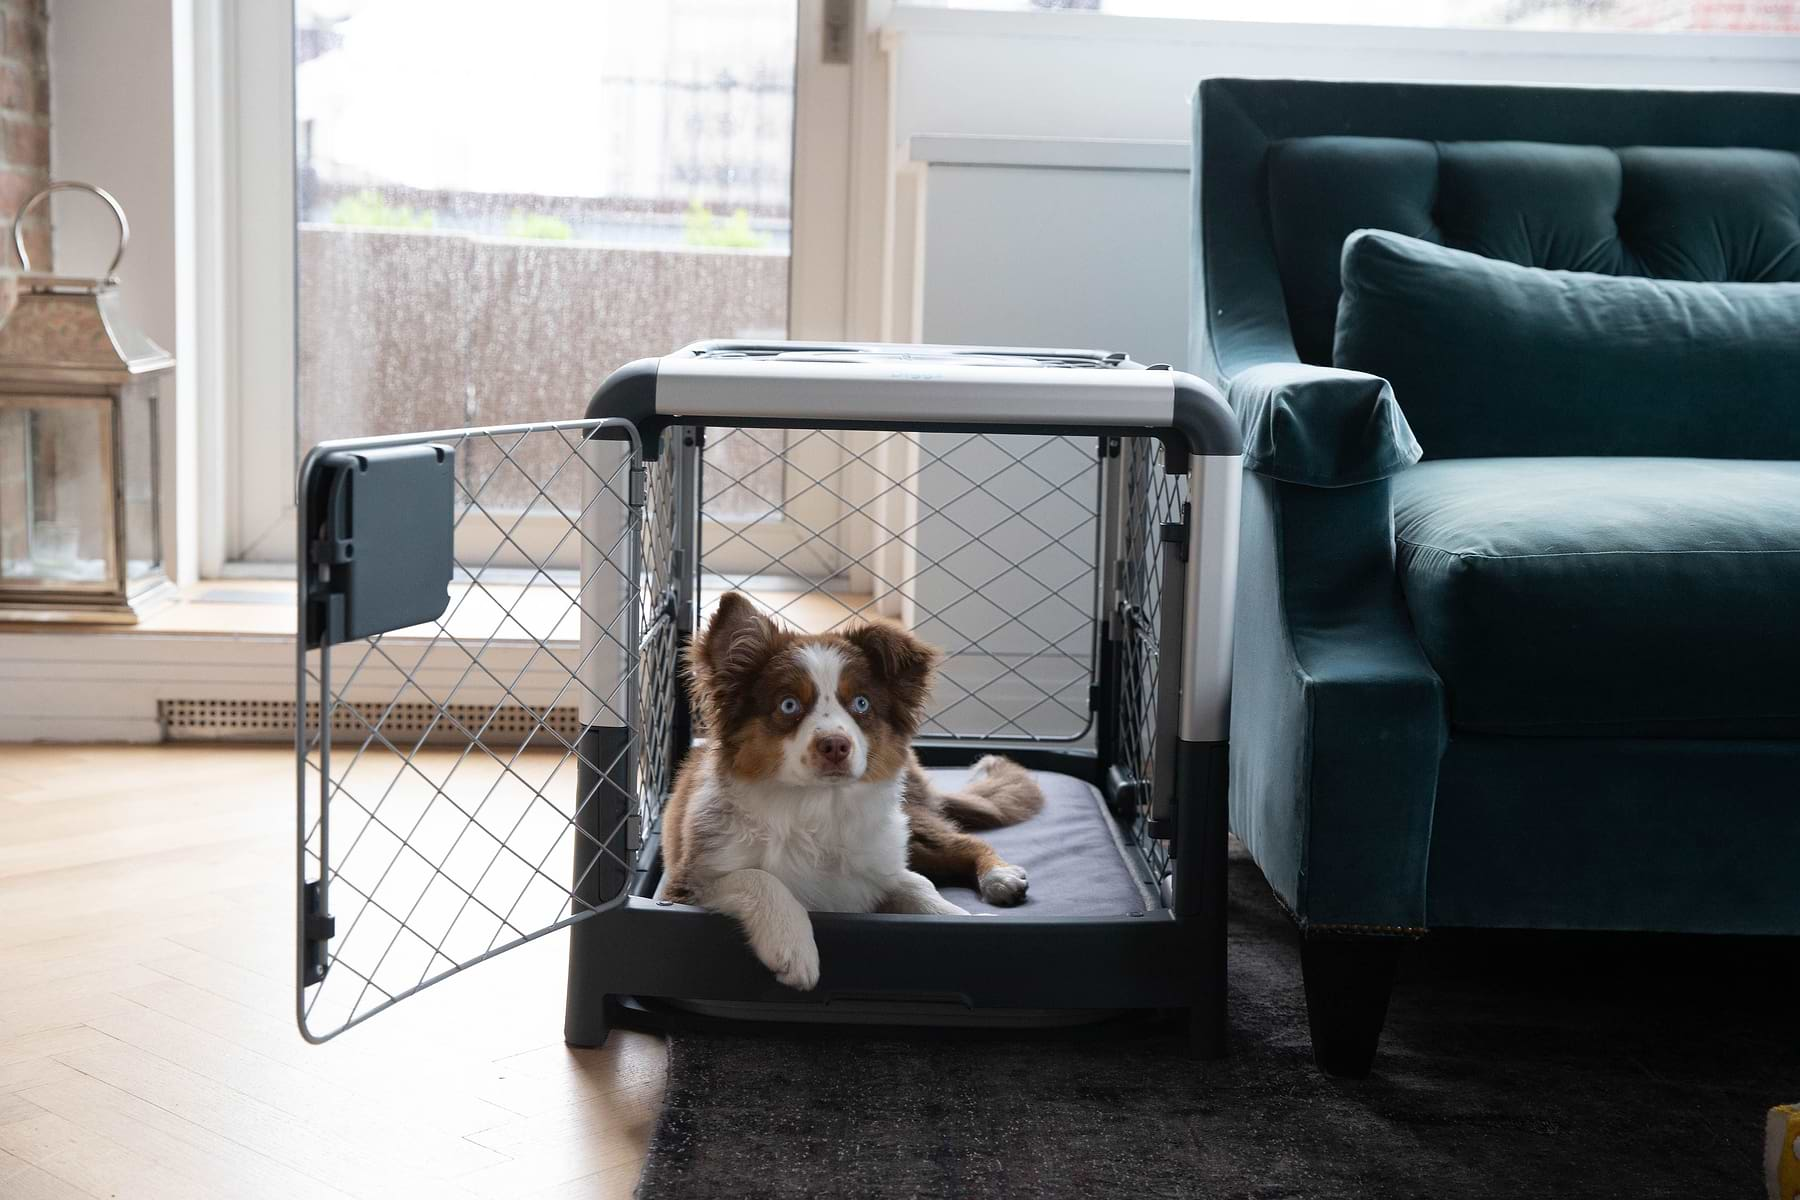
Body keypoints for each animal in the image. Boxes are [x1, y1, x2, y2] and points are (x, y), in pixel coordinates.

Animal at [662, 593, 1044, 993]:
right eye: (788, 705)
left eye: (861, 703)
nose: (835, 745)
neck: (816, 809)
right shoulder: (684, 883)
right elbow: (760, 877)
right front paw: (793, 946)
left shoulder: (879, 866)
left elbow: (919, 887)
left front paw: (962, 919)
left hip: (912, 820)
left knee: (964, 843)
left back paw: (1000, 876)